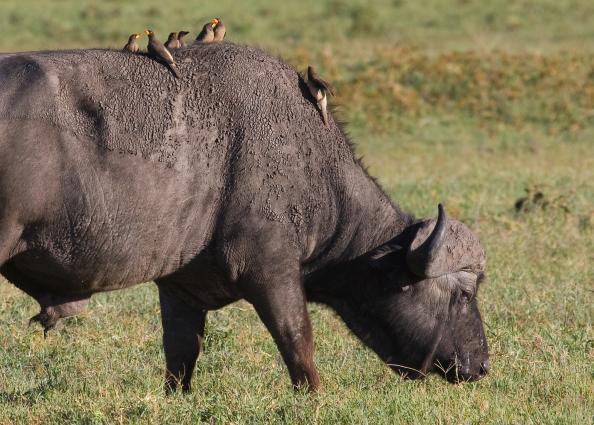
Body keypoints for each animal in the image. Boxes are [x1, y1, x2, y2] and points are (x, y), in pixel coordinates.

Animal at [0, 43, 486, 390]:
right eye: (464, 294)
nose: (481, 365)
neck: (313, 167)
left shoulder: (180, 286)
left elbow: (181, 352)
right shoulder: (269, 270)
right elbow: (296, 337)